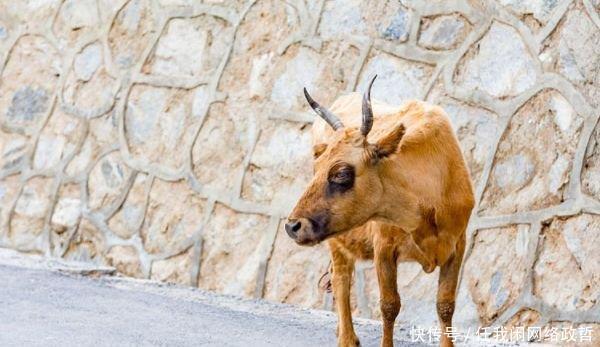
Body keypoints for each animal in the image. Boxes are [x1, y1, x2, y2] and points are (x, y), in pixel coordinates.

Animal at [284, 77, 476, 347]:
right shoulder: (384, 248)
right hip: (335, 239)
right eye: (317, 167)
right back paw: (347, 338)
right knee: (342, 278)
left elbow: (445, 305)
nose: (293, 226)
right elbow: (389, 305)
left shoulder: (457, 244)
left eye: (341, 173)